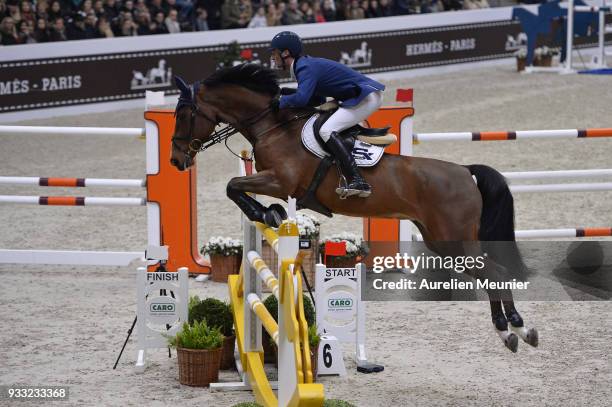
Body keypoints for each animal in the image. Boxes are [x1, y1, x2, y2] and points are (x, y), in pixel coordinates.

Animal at [167, 63, 536, 354]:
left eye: (184, 115)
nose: (175, 161)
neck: (273, 126)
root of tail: (464, 171)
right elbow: (235, 185)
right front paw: (271, 213)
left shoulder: (280, 182)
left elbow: (232, 184)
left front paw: (266, 213)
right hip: (440, 240)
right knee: (491, 272)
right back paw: (517, 330)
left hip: (453, 239)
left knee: (495, 273)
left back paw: (512, 329)